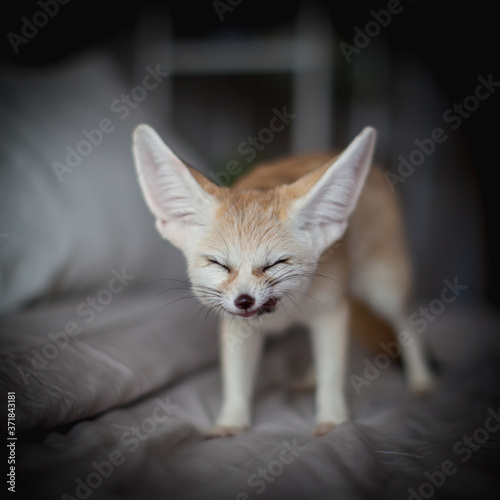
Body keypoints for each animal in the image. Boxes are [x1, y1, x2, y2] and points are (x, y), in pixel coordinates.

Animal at [132, 125, 434, 438]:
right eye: (219, 264)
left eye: (275, 263)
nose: (244, 301)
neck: (281, 316)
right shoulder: (239, 327)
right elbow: (236, 382)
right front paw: (231, 422)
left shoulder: (330, 311)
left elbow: (332, 376)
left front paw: (333, 420)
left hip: (383, 292)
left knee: (408, 326)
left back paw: (421, 379)